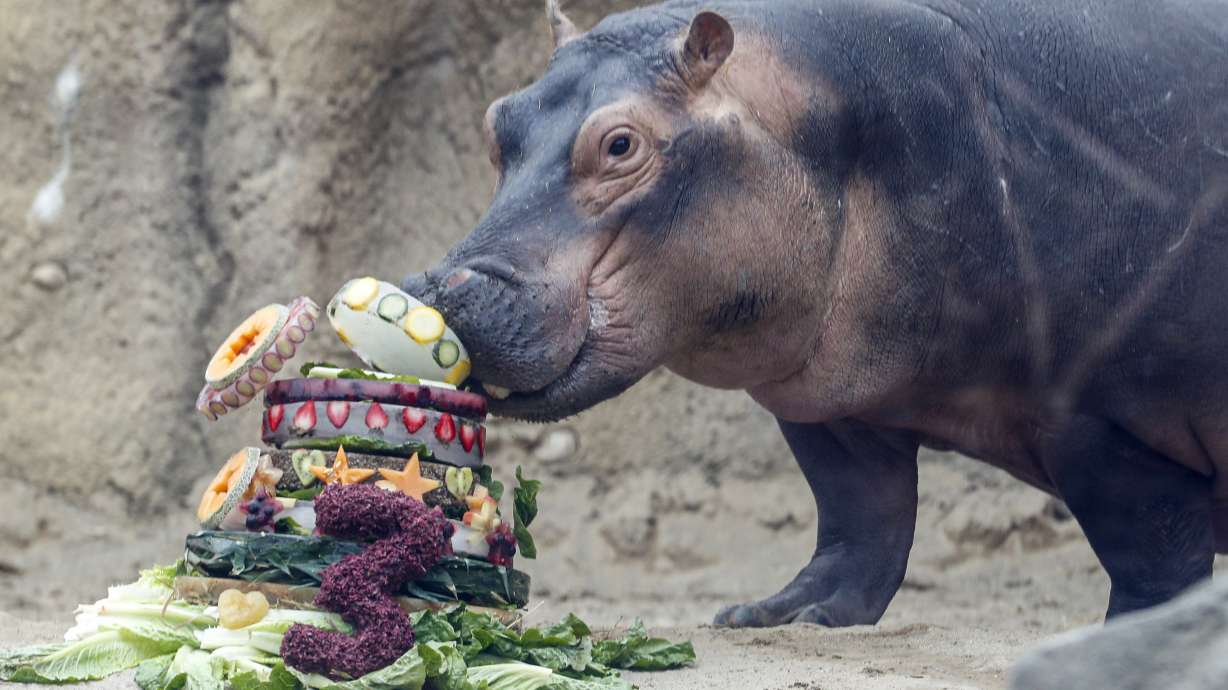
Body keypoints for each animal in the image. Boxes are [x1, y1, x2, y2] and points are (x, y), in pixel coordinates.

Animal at [402, 0, 1228, 627]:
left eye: (620, 144)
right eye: (498, 120)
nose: (438, 290)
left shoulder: (1097, 420)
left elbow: (1148, 552)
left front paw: (1135, 635)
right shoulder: (826, 396)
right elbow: (860, 516)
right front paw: (785, 615)